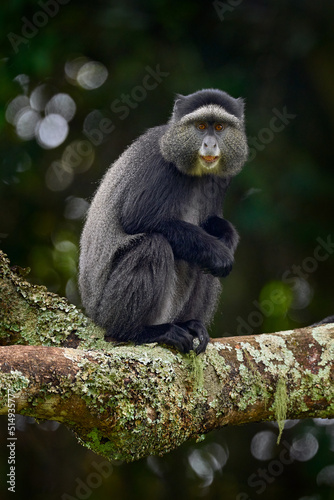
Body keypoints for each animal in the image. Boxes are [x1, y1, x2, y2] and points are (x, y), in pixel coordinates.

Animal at [79, 91, 248, 356]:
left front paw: (227, 237)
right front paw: (218, 252)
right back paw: (140, 332)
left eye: (219, 127)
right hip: (107, 311)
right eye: (201, 126)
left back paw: (189, 324)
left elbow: (211, 221)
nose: (210, 144)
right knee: (153, 245)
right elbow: (138, 218)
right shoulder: (158, 164)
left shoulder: (221, 179)